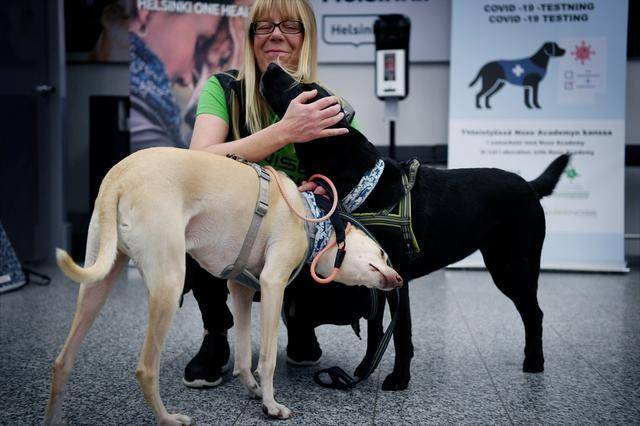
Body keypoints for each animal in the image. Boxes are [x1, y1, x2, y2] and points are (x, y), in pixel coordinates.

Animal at [45, 147, 402, 426]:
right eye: (384, 254)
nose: (398, 279)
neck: (312, 217)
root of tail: (119, 177)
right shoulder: (273, 284)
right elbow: (267, 359)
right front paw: (271, 406)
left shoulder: (240, 289)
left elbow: (243, 355)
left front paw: (252, 388)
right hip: (168, 284)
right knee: (146, 369)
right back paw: (168, 418)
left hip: (98, 282)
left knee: (62, 362)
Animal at [260, 61, 568, 392]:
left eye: (303, 89)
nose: (272, 65)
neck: (365, 182)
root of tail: (531, 185)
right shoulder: (375, 278)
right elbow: (376, 330)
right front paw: (365, 368)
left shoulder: (398, 278)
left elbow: (401, 333)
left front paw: (399, 378)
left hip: (512, 267)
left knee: (534, 313)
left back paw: (534, 362)